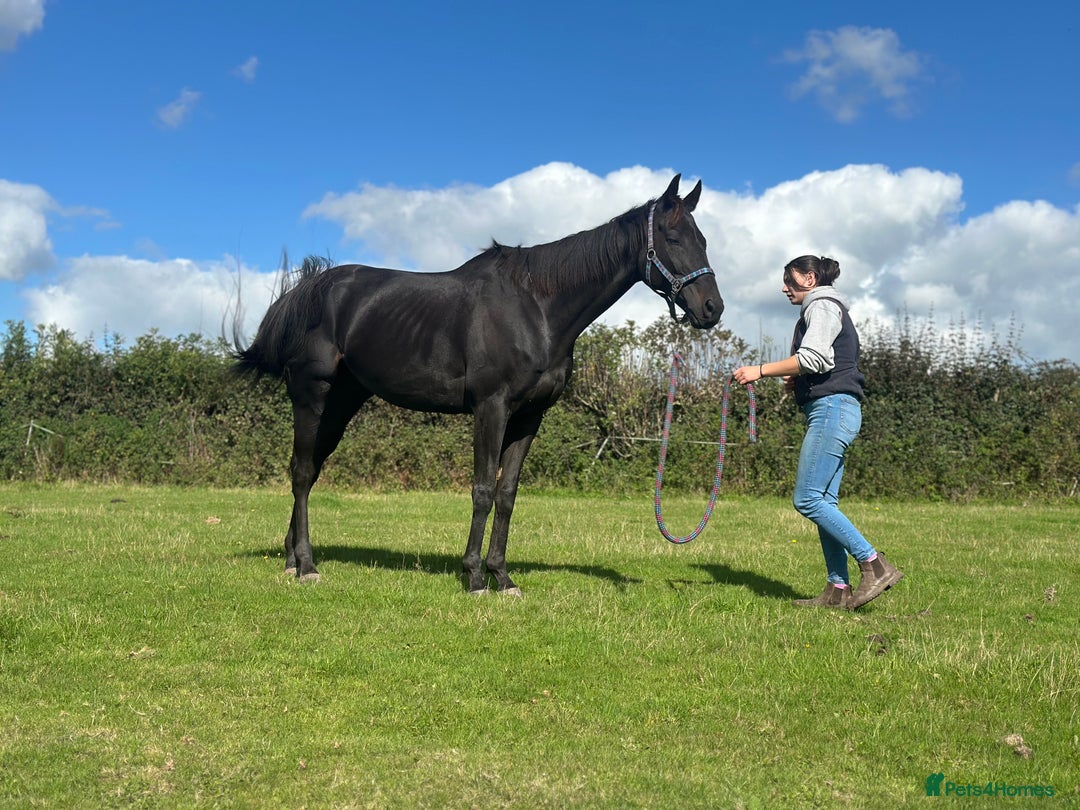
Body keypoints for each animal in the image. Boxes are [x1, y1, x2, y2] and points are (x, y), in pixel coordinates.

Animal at [232, 174, 723, 594]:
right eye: (672, 238)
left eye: (703, 240)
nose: (712, 308)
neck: (536, 308)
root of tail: (310, 289)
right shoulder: (492, 407)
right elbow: (483, 489)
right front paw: (473, 577)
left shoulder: (529, 417)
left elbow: (507, 494)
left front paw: (502, 577)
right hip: (311, 396)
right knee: (300, 473)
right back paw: (308, 566)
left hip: (342, 403)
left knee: (310, 468)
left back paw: (291, 559)